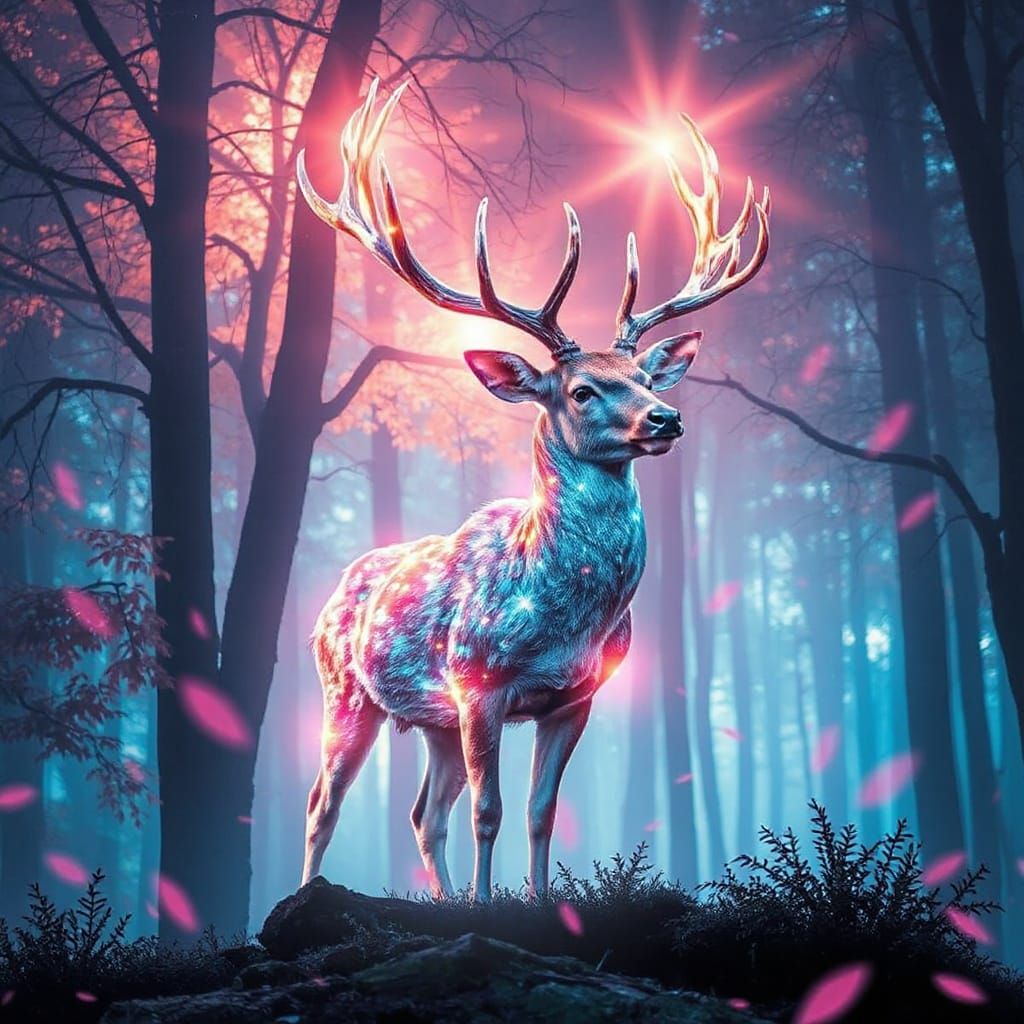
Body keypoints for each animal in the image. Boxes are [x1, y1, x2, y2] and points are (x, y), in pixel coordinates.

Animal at [297, 79, 769, 902]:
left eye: (647, 377)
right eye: (582, 390)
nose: (667, 417)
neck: (561, 615)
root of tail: (335, 588)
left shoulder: (575, 697)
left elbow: (539, 812)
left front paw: (542, 905)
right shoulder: (478, 684)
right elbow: (489, 811)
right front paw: (489, 910)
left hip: (430, 720)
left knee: (422, 814)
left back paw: (441, 899)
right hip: (345, 690)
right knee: (325, 803)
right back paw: (304, 896)